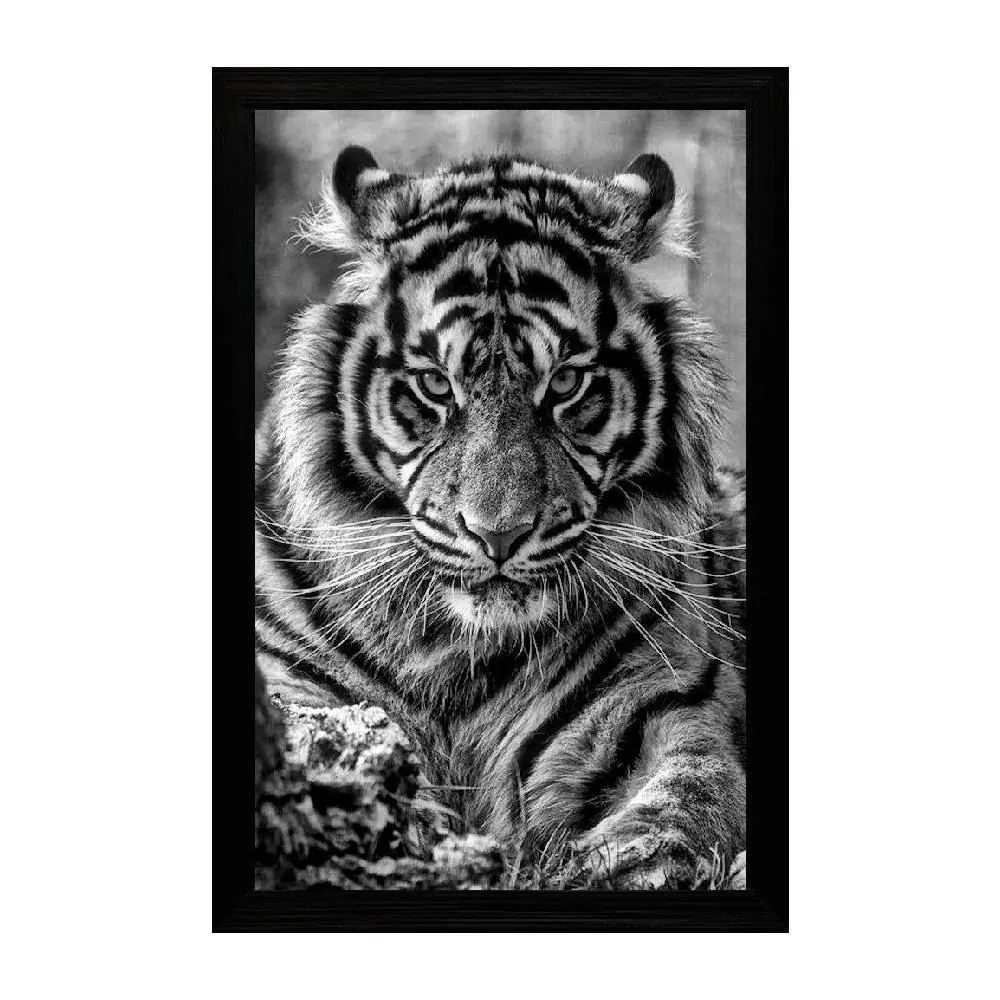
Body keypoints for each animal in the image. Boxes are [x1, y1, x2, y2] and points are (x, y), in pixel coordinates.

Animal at [254, 145, 746, 889]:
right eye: (435, 385)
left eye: (565, 383)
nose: (498, 535)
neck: (455, 651)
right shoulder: (291, 685)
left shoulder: (664, 707)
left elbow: (680, 808)